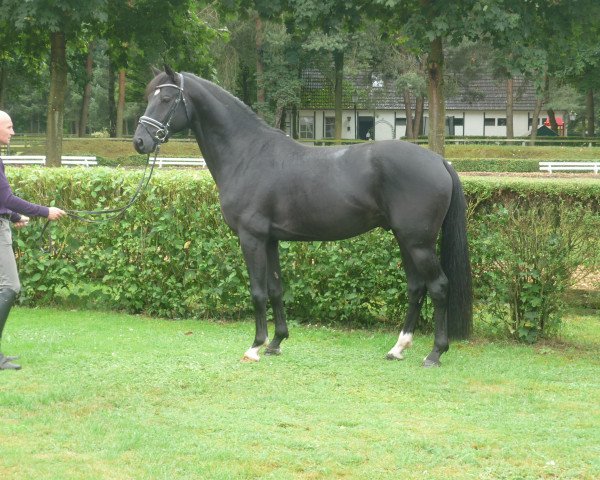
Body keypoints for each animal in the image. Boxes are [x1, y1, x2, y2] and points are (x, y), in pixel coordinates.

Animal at [134, 66, 472, 368]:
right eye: (149, 96)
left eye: (166, 99)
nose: (140, 141)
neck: (248, 155)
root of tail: (440, 161)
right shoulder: (270, 240)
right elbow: (275, 289)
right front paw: (276, 342)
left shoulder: (251, 238)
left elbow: (257, 292)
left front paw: (255, 347)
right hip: (405, 239)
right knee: (416, 288)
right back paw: (398, 348)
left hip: (418, 243)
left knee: (439, 286)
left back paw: (435, 353)